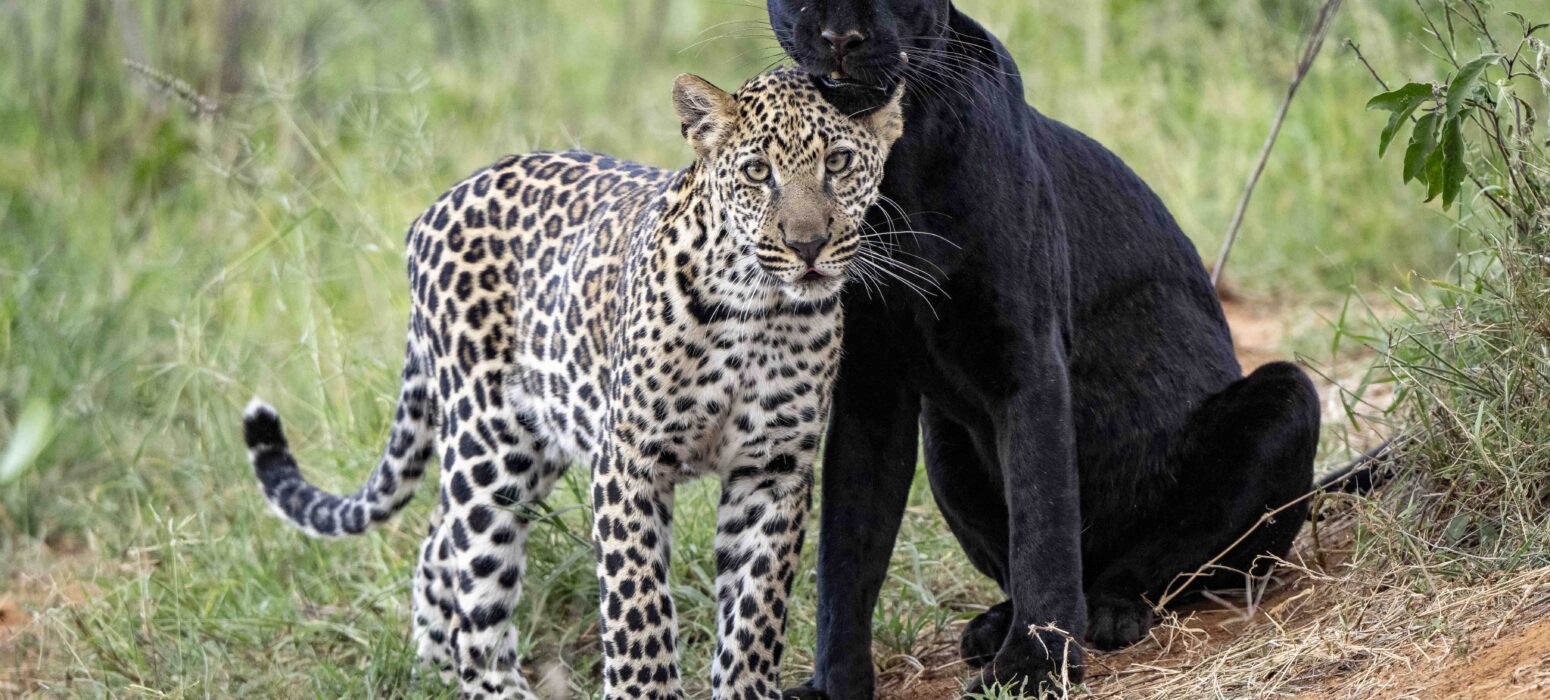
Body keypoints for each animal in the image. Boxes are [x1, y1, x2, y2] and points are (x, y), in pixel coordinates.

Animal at [240, 67, 904, 700]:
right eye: (757, 172)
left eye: (838, 163)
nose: (807, 244)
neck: (759, 312)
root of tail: (435, 207)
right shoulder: (629, 458)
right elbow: (637, 601)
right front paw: (644, 692)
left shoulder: (773, 469)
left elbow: (755, 608)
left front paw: (748, 689)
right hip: (492, 447)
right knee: (475, 588)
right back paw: (486, 682)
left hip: (539, 441)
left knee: (438, 541)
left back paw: (433, 667)